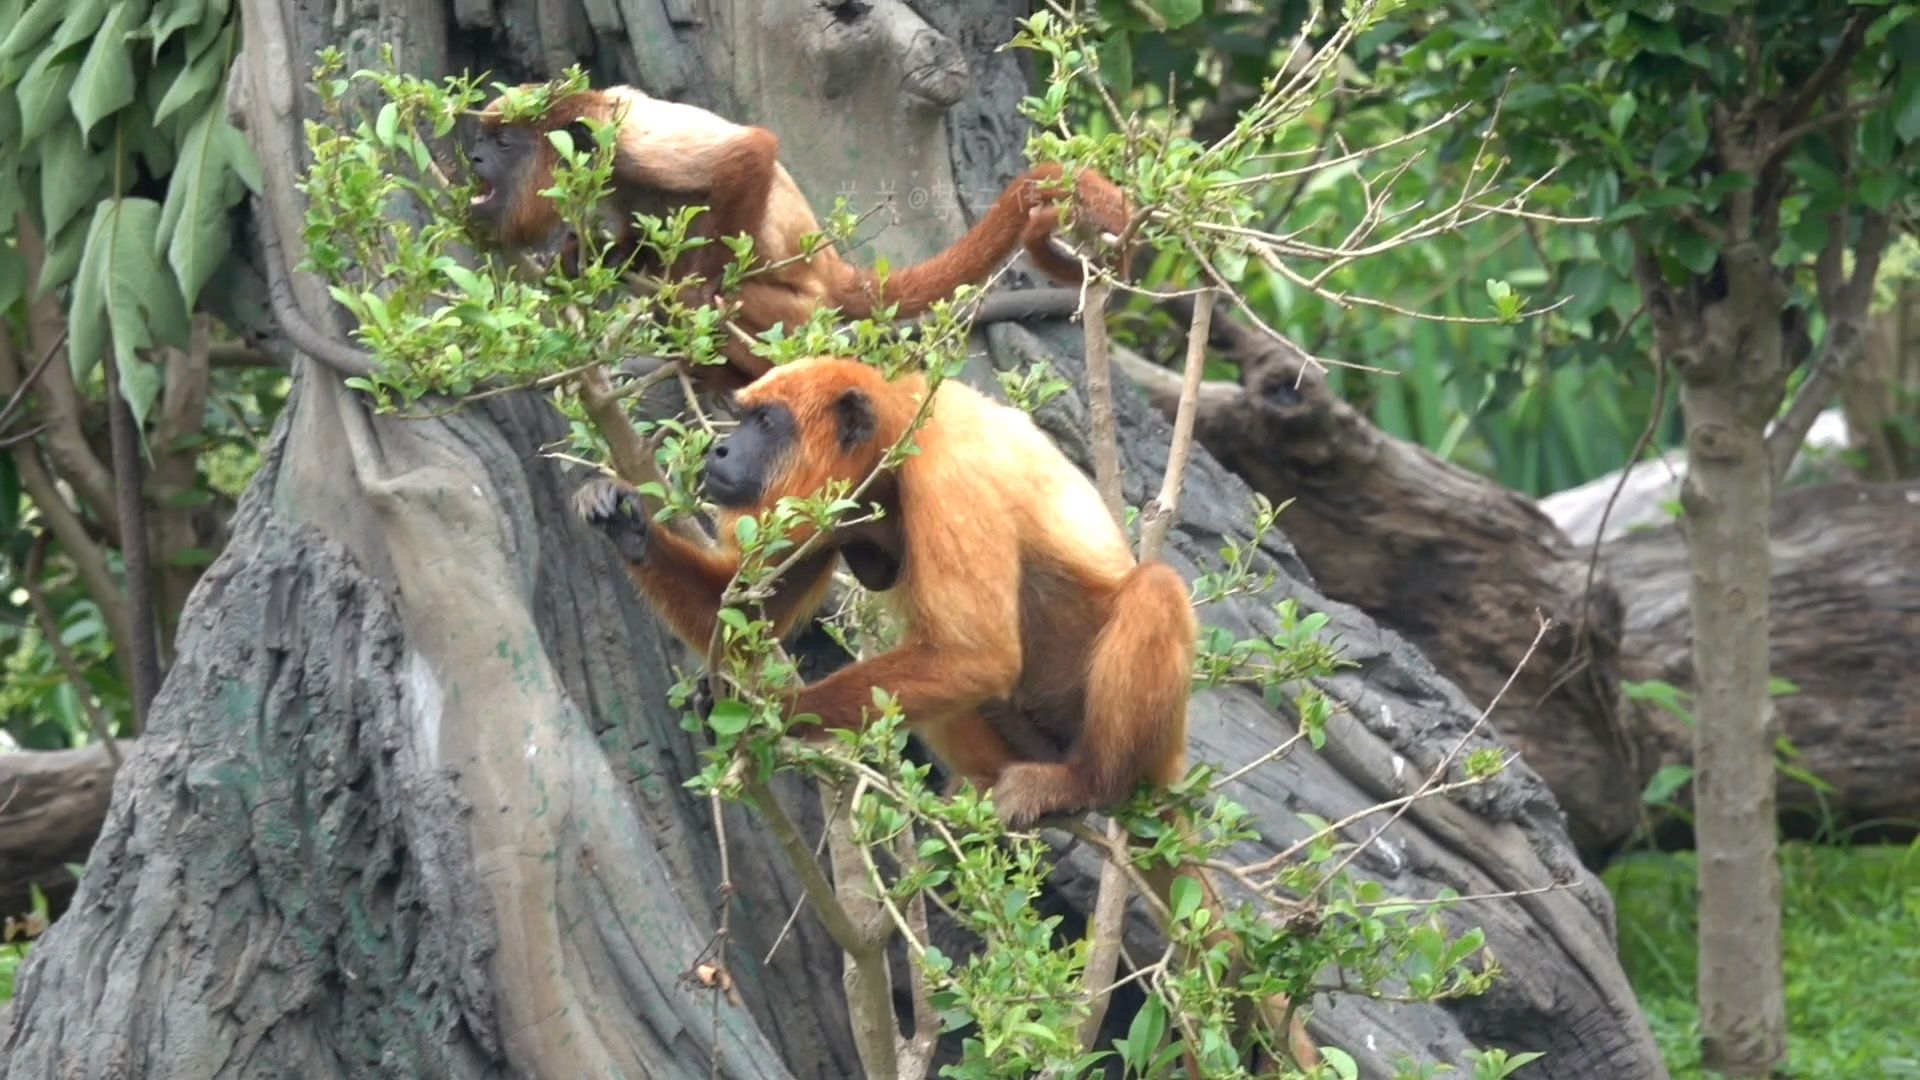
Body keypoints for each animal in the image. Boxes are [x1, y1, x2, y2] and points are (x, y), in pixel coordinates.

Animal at [466, 84, 1128, 388]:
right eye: (483, 139)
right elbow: (632, 235)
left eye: (504, 143)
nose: (471, 156)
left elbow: (749, 154)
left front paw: (694, 298)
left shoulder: (632, 141)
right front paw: (578, 258)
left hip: (801, 313)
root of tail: (834, 270)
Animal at [572, 357, 1320, 1060]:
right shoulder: (833, 507)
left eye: (765, 423)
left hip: (1147, 740)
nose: (723, 451)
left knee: (1153, 591)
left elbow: (977, 654)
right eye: (743, 417)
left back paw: (1087, 782)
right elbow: (745, 607)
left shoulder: (945, 473)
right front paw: (628, 525)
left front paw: (777, 711)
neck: (896, 432)